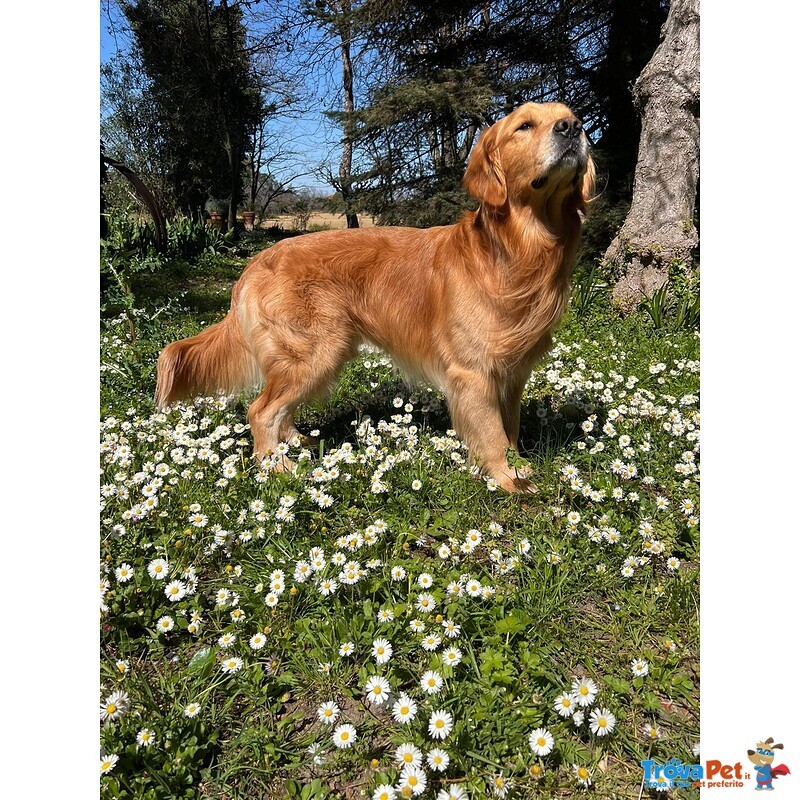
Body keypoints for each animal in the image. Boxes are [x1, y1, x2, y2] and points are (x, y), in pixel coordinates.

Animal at [156, 102, 592, 490]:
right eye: (524, 126)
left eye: (570, 117)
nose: (573, 128)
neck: (518, 252)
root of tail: (255, 263)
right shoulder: (475, 372)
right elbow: (492, 434)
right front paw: (507, 478)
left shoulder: (513, 373)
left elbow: (510, 426)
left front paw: (517, 465)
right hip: (316, 351)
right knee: (260, 410)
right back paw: (275, 467)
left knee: (278, 408)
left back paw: (296, 442)